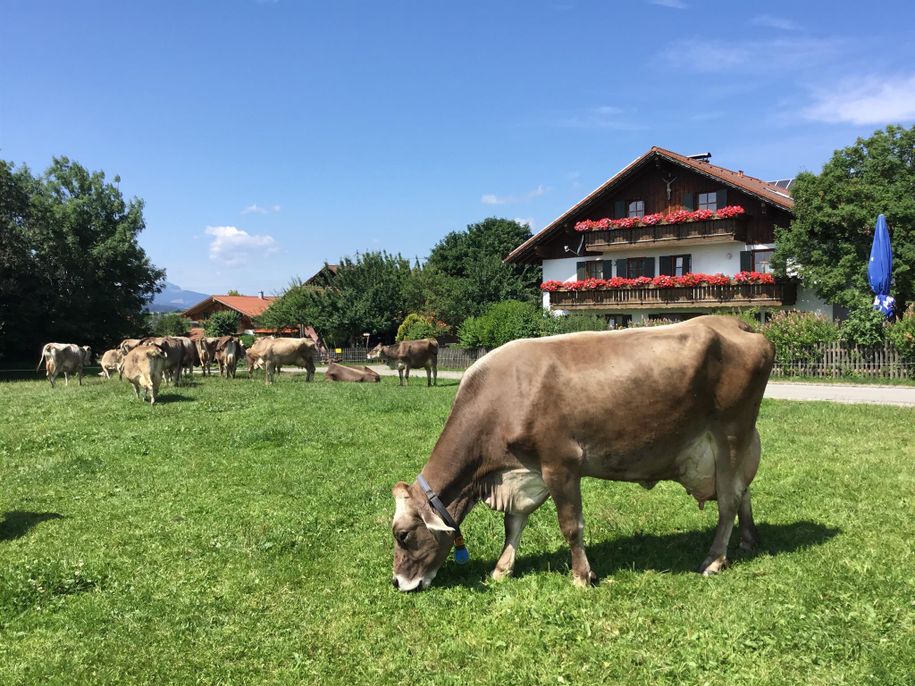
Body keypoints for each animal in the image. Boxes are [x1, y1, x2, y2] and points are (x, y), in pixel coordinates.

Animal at [390, 318, 776, 592]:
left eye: (403, 535)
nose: (396, 582)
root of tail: (735, 323)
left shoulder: (560, 463)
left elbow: (571, 525)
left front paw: (581, 575)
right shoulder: (524, 471)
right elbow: (513, 523)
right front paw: (502, 568)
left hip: (730, 433)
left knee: (728, 500)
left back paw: (714, 559)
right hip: (738, 443)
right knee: (742, 490)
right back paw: (749, 540)